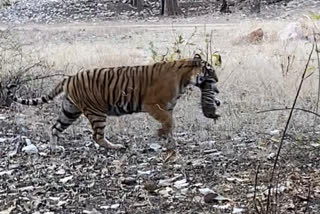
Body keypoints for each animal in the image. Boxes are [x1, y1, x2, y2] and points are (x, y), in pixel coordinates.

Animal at [7, 54, 219, 150]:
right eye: (210, 70)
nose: (217, 80)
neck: (185, 78)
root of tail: (70, 78)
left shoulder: (168, 108)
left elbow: (171, 125)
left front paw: (170, 141)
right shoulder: (153, 105)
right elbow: (169, 122)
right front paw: (163, 136)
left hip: (70, 110)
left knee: (54, 127)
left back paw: (54, 147)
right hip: (96, 112)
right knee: (97, 136)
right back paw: (115, 146)